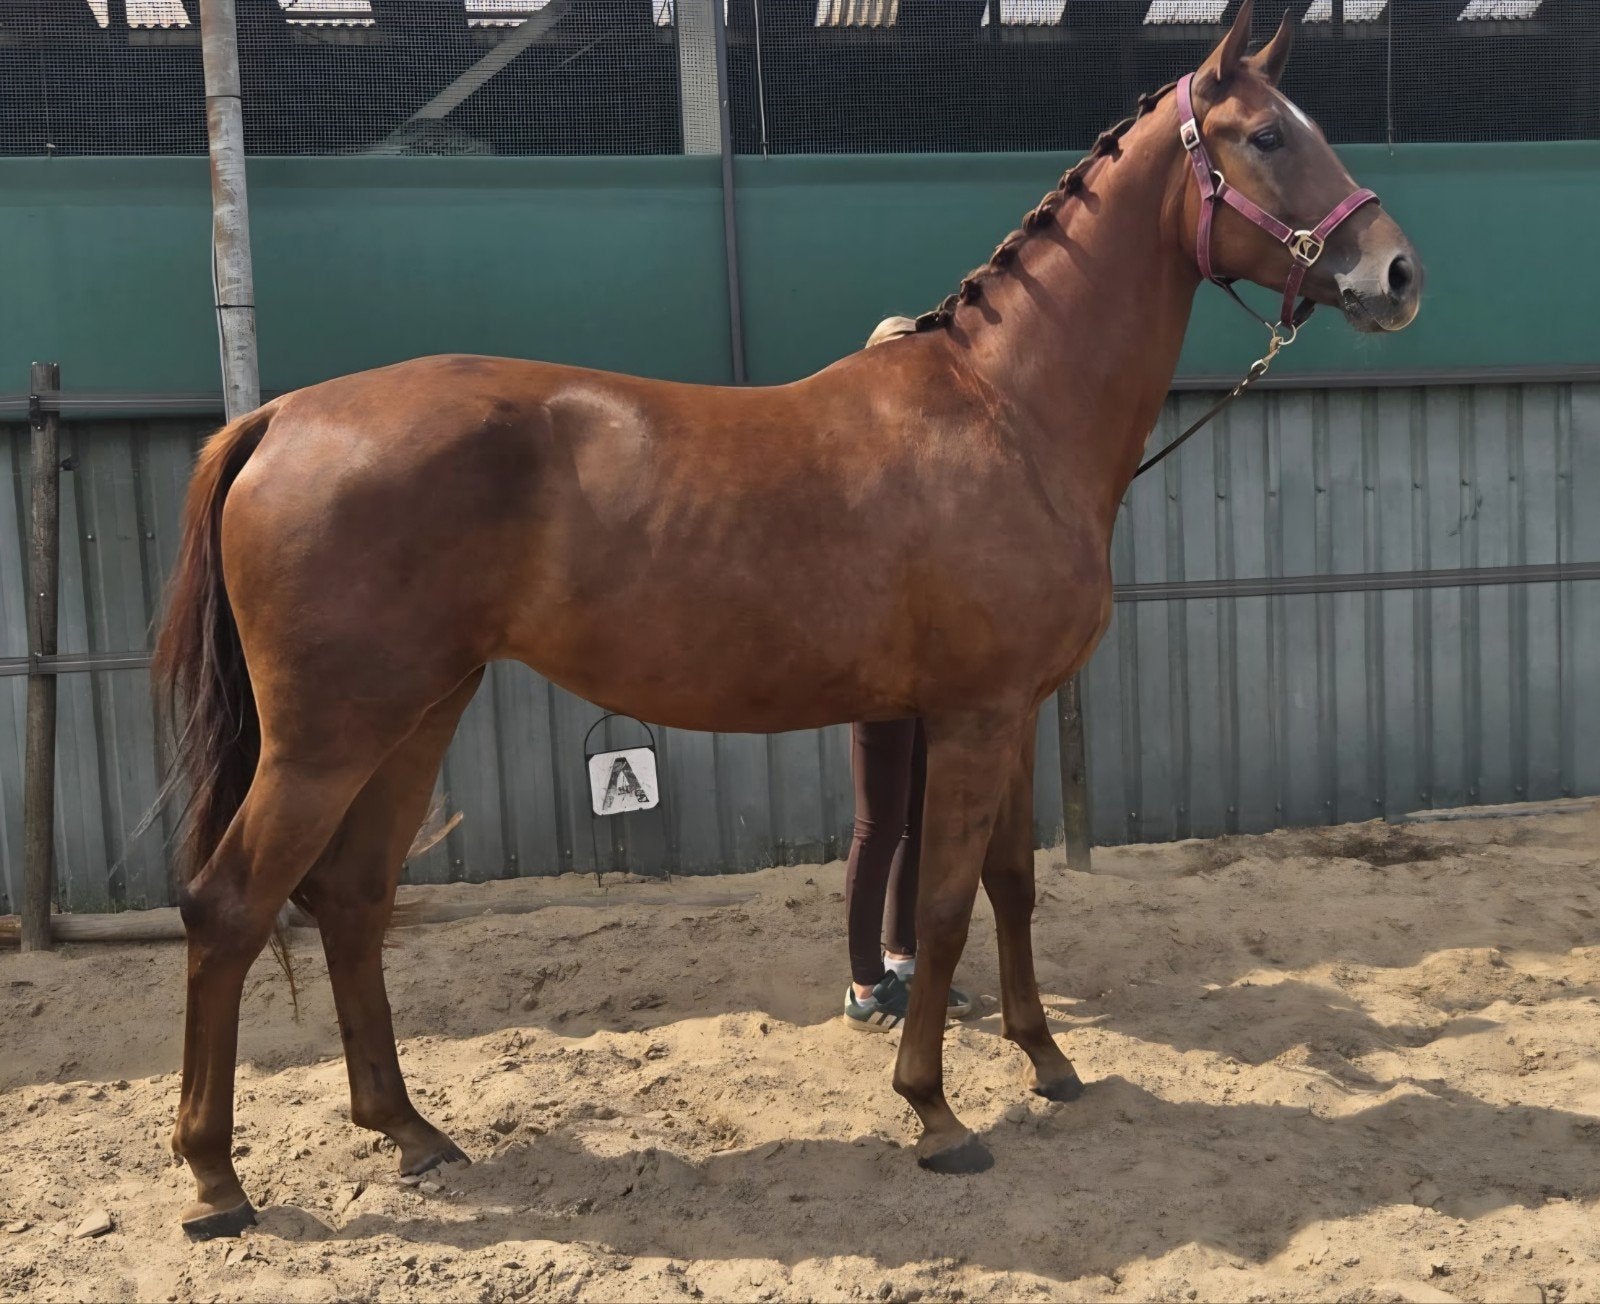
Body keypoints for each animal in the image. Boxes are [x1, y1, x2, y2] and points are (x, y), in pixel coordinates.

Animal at [152, 0, 1421, 1237]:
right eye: (1269, 135)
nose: (1397, 272)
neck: (1005, 411)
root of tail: (278, 417)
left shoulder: (1010, 709)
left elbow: (1012, 882)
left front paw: (1048, 1060)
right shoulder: (974, 716)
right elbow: (944, 906)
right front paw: (935, 1111)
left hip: (416, 714)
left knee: (352, 900)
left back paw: (409, 1129)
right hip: (329, 737)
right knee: (229, 905)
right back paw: (214, 1179)